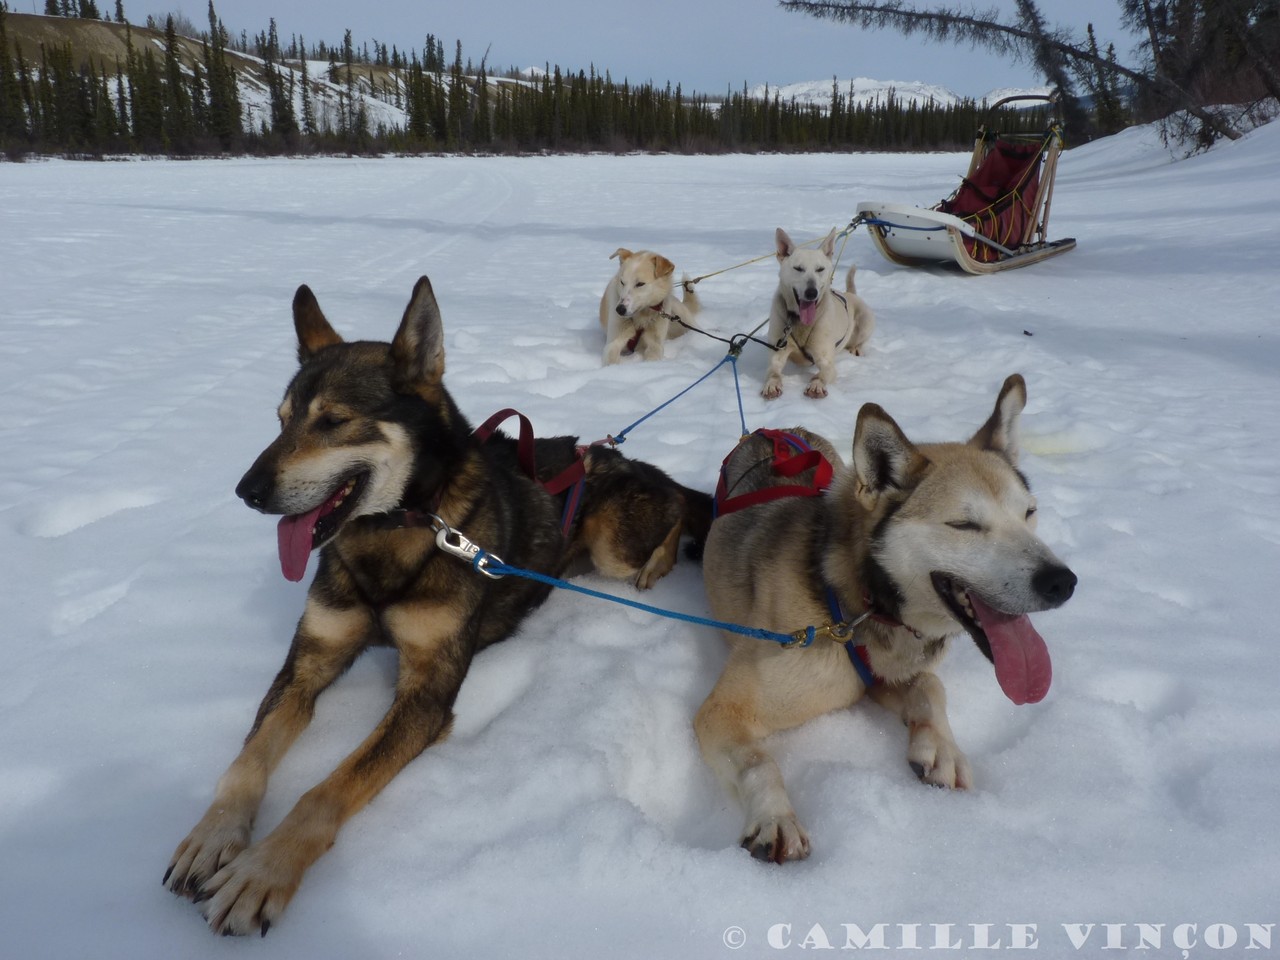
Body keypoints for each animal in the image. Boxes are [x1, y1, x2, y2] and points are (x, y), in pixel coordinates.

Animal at [696, 376, 1075, 865]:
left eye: (1029, 512)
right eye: (964, 525)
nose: (1062, 581)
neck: (850, 603)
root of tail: (773, 431)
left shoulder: (886, 676)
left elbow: (930, 686)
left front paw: (941, 749)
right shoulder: (723, 711)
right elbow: (758, 761)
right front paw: (775, 817)